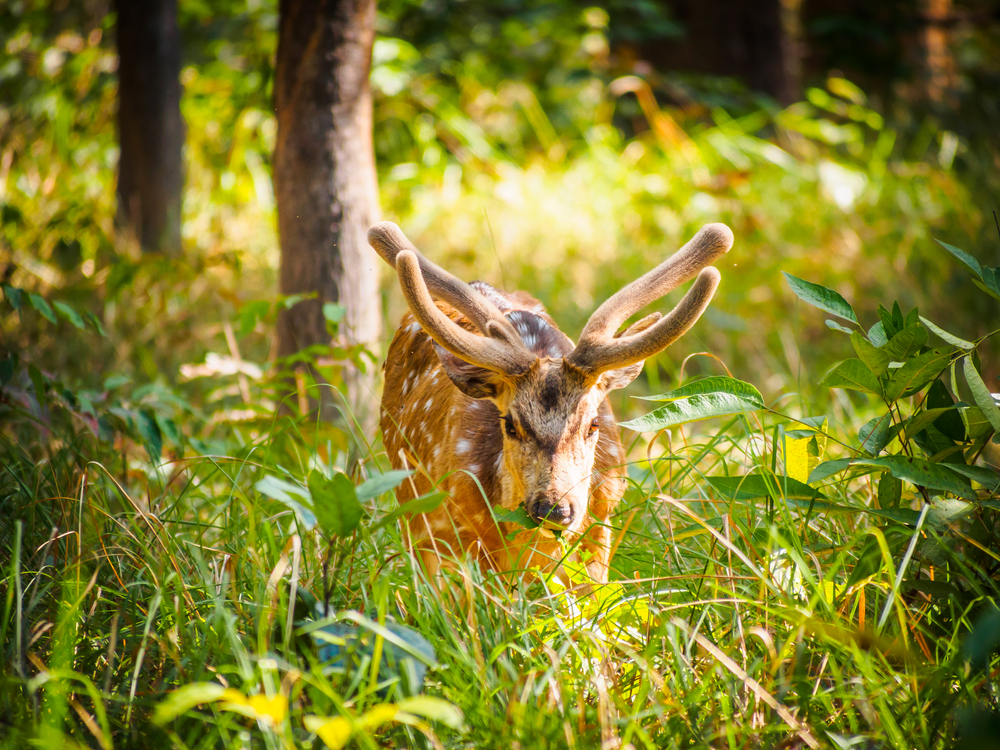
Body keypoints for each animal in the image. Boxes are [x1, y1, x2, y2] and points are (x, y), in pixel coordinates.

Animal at [372, 220, 732, 592]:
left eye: (593, 424)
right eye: (510, 424)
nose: (555, 510)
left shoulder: (601, 523)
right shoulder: (458, 532)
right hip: (410, 502)